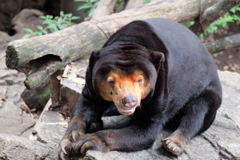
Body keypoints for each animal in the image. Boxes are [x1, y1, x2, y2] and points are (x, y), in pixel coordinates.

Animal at [58, 17, 221, 159]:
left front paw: (86, 141)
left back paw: (173, 145)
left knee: (198, 112)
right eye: (111, 81)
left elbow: (145, 129)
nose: (129, 101)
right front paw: (68, 142)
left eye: (140, 80)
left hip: (208, 90)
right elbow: (85, 106)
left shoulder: (160, 91)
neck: (130, 42)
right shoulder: (91, 81)